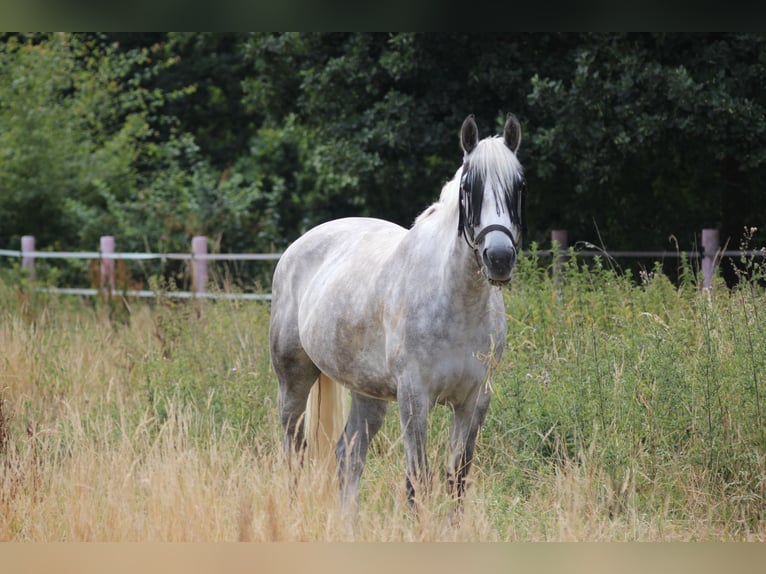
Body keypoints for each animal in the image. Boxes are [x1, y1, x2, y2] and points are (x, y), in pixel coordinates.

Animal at [268, 111, 524, 512]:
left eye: (519, 186)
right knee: (294, 452)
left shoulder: (474, 401)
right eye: (469, 187)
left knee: (348, 458)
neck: (457, 304)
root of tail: (299, 245)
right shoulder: (414, 398)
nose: (498, 258)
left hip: (367, 395)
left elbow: (456, 480)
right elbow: (418, 482)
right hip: (293, 380)